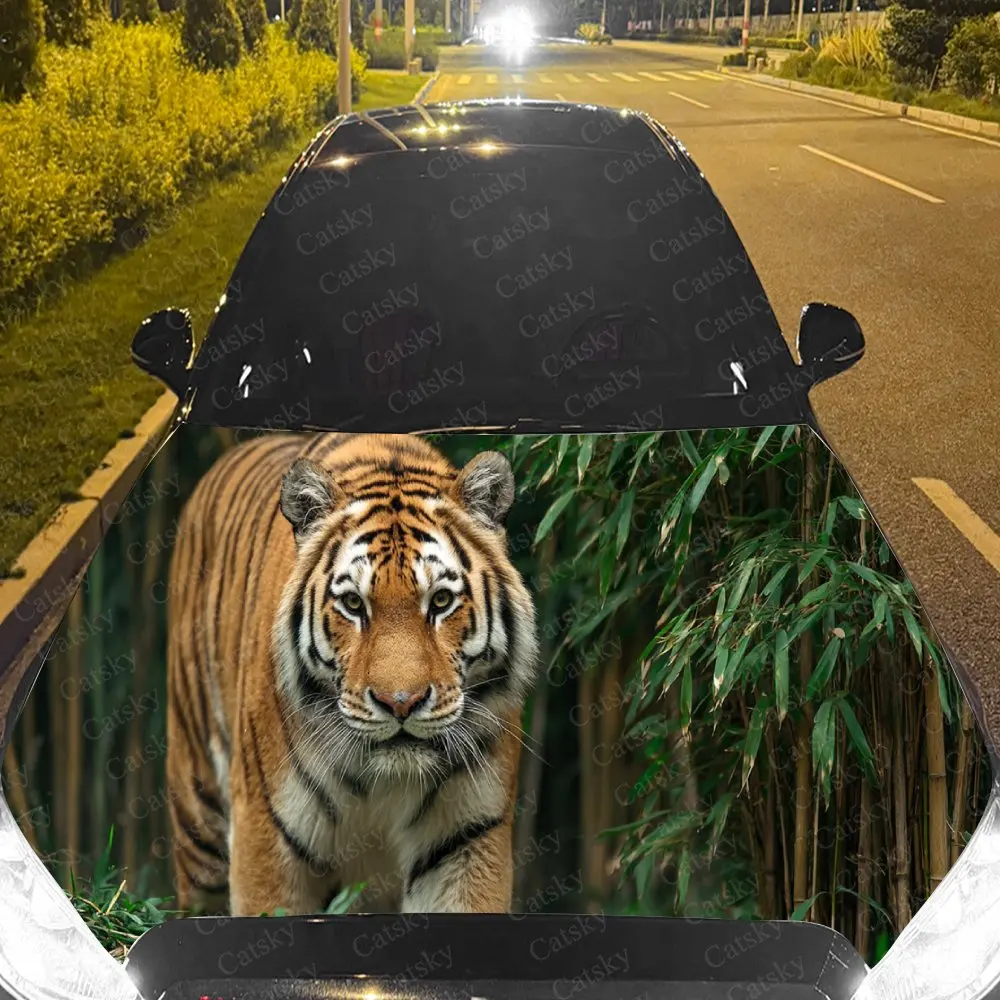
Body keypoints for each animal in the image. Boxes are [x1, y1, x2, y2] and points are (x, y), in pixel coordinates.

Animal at [165, 432, 539, 917]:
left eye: (440, 601)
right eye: (354, 604)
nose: (401, 702)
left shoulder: (468, 838)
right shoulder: (266, 838)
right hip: (199, 817)